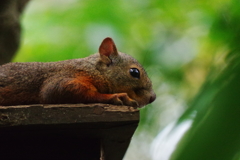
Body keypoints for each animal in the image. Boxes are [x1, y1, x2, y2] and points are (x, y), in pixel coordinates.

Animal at [0, 37, 156, 107]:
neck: (94, 70)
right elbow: (55, 91)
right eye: (134, 72)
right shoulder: (65, 77)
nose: (153, 97)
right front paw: (116, 97)